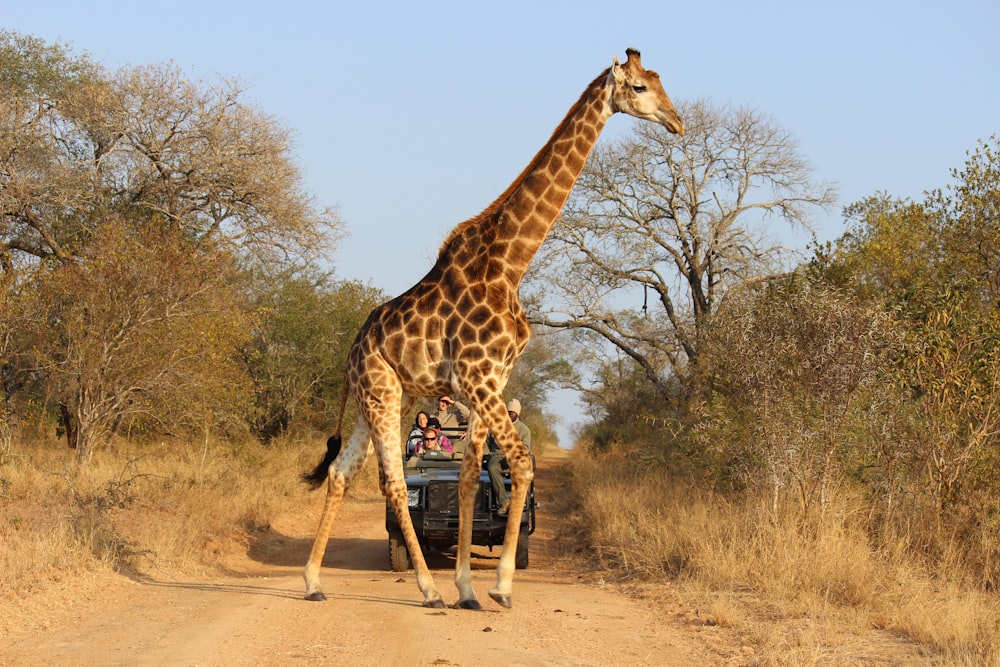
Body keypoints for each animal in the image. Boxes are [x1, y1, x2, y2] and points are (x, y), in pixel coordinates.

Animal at [300, 48, 684, 612]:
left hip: (384, 396)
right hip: (381, 391)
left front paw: (468, 588)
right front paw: (498, 586)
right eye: (638, 87)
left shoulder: (491, 379)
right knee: (394, 483)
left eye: (659, 82)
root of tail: (351, 352)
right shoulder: (479, 378)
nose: (678, 122)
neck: (510, 264)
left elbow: (467, 475)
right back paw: (427, 589)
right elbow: (521, 464)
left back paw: (313, 582)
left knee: (340, 473)